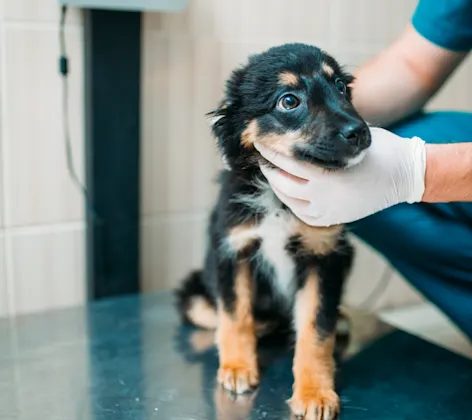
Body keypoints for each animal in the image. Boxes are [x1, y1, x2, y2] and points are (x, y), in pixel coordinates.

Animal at [175, 43, 370, 420]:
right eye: (289, 101)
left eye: (340, 87)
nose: (361, 133)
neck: (279, 200)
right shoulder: (232, 250)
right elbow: (236, 316)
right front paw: (237, 368)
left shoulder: (325, 257)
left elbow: (316, 331)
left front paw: (315, 393)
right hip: (194, 293)